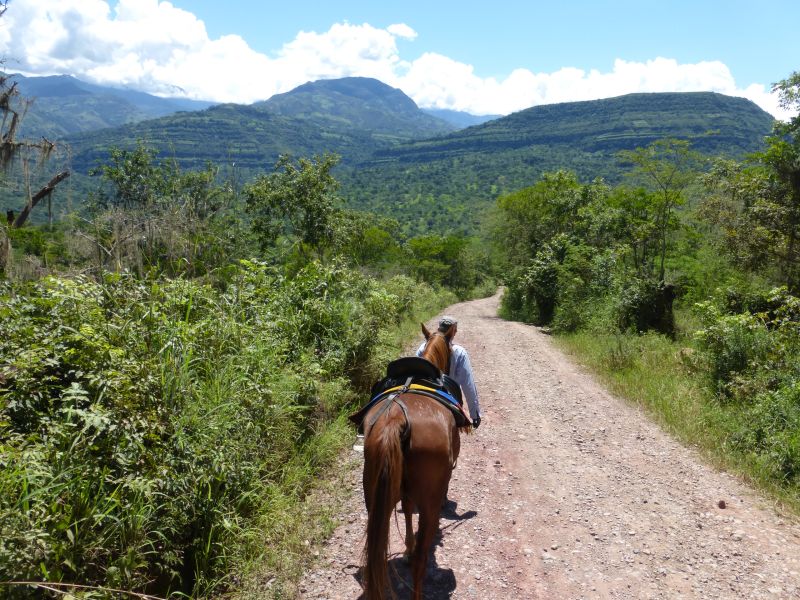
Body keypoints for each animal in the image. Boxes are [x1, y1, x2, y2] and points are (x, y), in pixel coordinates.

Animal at [360, 324, 460, 600]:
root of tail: (397, 419)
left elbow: (405, 509)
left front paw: (406, 549)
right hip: (427, 504)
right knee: (421, 562)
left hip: (374, 496)